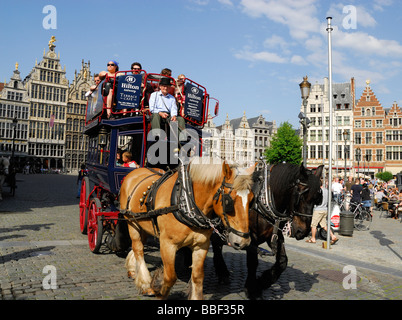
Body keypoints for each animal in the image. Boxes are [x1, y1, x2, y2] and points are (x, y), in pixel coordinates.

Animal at [210, 162, 324, 300]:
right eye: (300, 197)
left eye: (317, 199)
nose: (302, 231)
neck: (263, 201)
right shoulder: (250, 237)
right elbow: (253, 262)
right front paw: (252, 289)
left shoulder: (275, 235)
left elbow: (282, 261)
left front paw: (262, 282)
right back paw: (222, 272)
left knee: (216, 242)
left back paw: (222, 272)